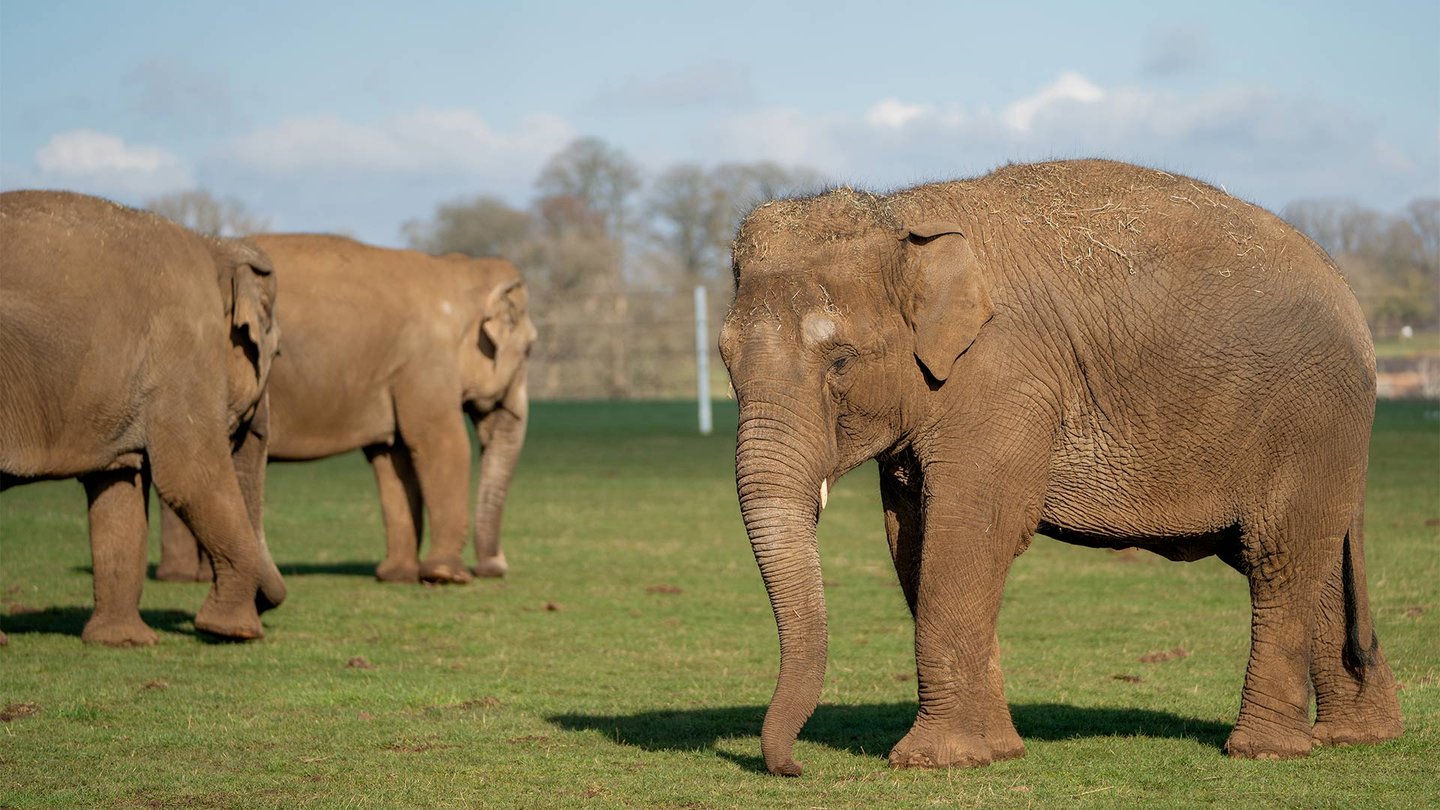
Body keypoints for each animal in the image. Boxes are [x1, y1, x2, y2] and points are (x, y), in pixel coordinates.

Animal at [0, 190, 285, 645]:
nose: (268, 602)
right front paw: (233, 633)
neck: (215, 245)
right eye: (275, 353)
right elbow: (191, 479)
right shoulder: (182, 344)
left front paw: (122, 642)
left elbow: (120, 487)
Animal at [157, 234, 537, 585]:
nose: (493, 568)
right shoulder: (425, 362)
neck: (458, 270)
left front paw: (396, 576)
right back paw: (186, 577)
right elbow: (441, 444)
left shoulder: (395, 373)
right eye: (530, 350)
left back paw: (185, 576)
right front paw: (447, 576)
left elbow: (391, 457)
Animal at [719, 159, 1403, 775]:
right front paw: (993, 753)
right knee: (1315, 562)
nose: (794, 767)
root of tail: (1351, 296)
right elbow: (911, 541)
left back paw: (1263, 751)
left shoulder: (1004, 378)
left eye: (841, 361)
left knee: (1279, 559)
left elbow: (975, 531)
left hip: (1311, 420)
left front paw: (931, 762)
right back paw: (1355, 739)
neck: (903, 213)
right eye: (724, 359)